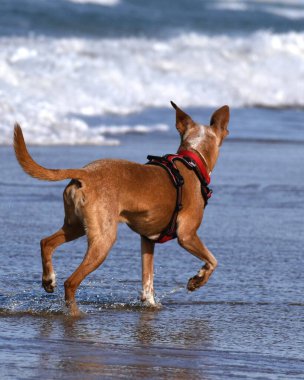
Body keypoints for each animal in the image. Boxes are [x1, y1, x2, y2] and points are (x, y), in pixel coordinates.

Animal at [13, 102, 228, 316]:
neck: (192, 161)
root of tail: (85, 173)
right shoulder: (187, 235)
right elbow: (214, 261)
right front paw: (197, 280)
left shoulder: (147, 240)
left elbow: (147, 282)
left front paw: (150, 304)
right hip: (103, 240)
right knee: (71, 283)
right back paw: (74, 311)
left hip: (75, 227)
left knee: (46, 242)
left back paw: (48, 280)